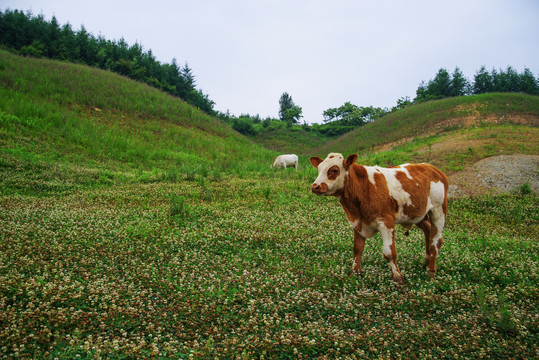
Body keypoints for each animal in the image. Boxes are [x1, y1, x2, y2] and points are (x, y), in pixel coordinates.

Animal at [310, 152, 450, 284]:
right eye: (319, 169)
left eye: (334, 170)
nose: (315, 186)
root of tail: (433, 168)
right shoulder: (357, 223)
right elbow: (357, 249)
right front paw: (354, 274)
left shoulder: (386, 222)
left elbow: (389, 253)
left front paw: (398, 279)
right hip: (417, 214)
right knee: (428, 230)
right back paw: (426, 261)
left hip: (438, 210)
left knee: (436, 240)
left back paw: (431, 271)